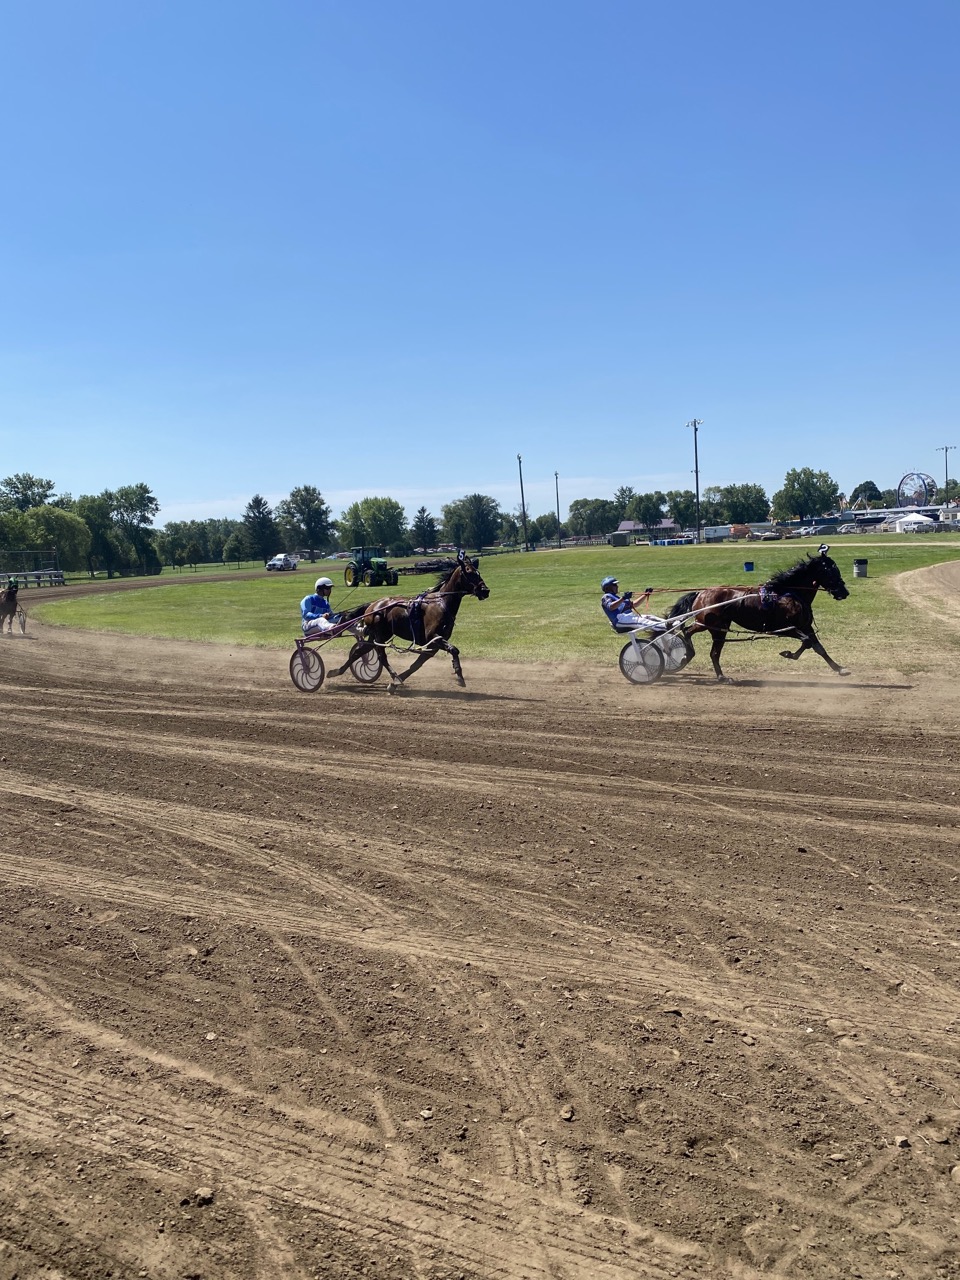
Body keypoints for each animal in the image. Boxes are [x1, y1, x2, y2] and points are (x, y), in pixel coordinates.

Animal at [330, 550, 496, 691]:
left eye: (478, 572)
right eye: (470, 572)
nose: (485, 591)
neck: (441, 603)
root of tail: (372, 605)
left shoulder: (433, 644)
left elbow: (418, 664)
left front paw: (395, 683)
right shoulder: (433, 637)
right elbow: (454, 649)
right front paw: (460, 676)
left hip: (378, 635)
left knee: (360, 651)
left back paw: (336, 671)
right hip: (380, 635)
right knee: (381, 656)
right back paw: (393, 675)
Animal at [665, 545, 855, 686]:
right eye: (831, 571)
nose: (844, 592)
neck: (789, 593)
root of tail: (701, 593)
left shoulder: (804, 626)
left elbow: (818, 647)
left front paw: (840, 669)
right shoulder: (784, 629)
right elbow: (807, 642)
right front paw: (788, 653)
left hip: (719, 629)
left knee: (713, 653)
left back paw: (721, 676)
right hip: (708, 624)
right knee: (688, 632)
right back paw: (688, 655)